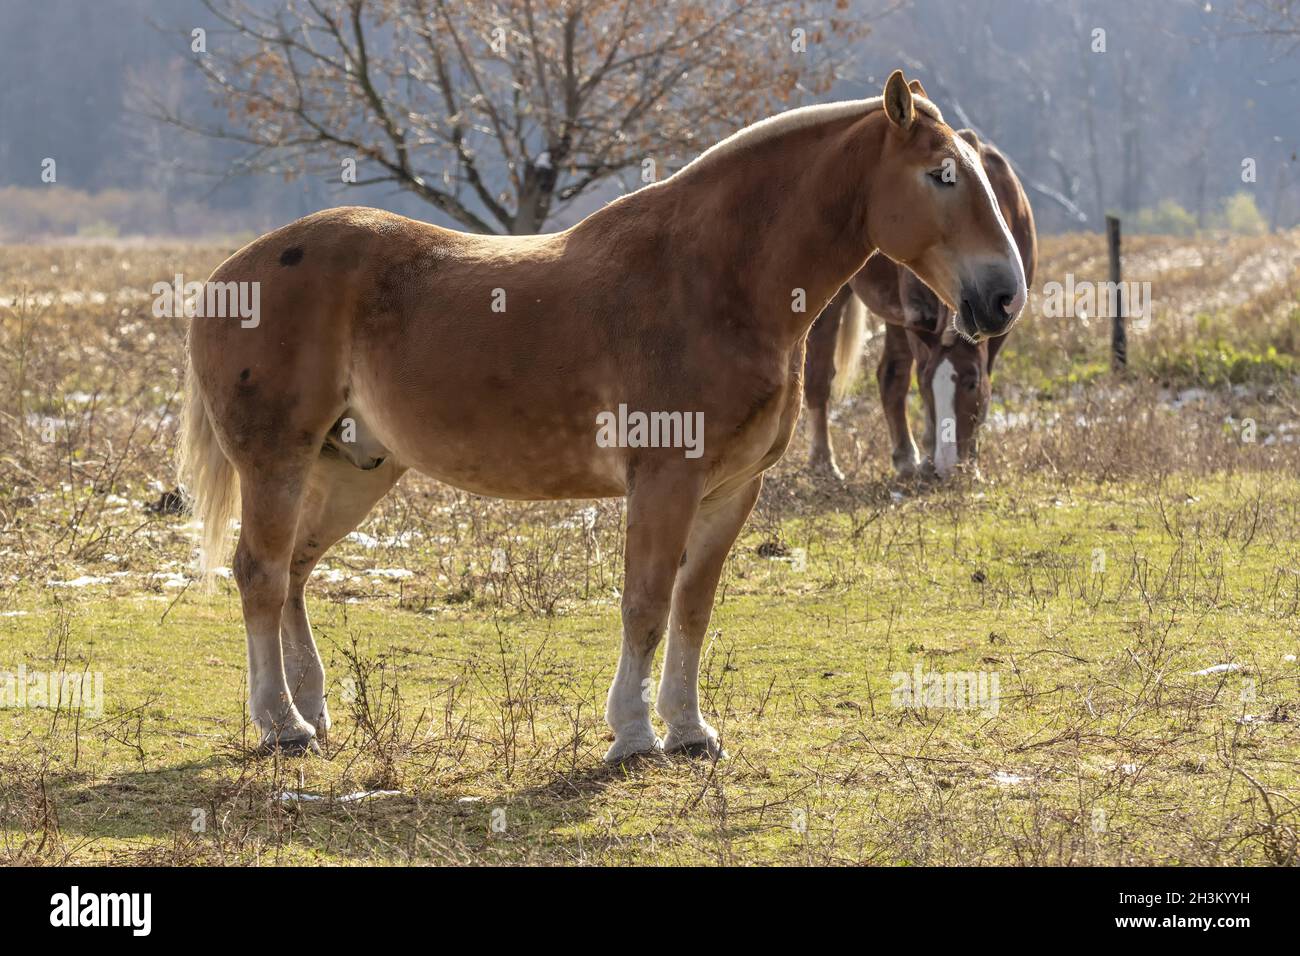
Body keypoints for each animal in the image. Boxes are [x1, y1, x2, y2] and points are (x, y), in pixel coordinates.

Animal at [804, 126, 1037, 480]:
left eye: (970, 384)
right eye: (926, 387)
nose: (948, 465)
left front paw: (972, 459)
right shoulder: (919, 316)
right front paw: (931, 453)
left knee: (890, 376)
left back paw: (904, 457)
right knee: (820, 377)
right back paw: (824, 462)